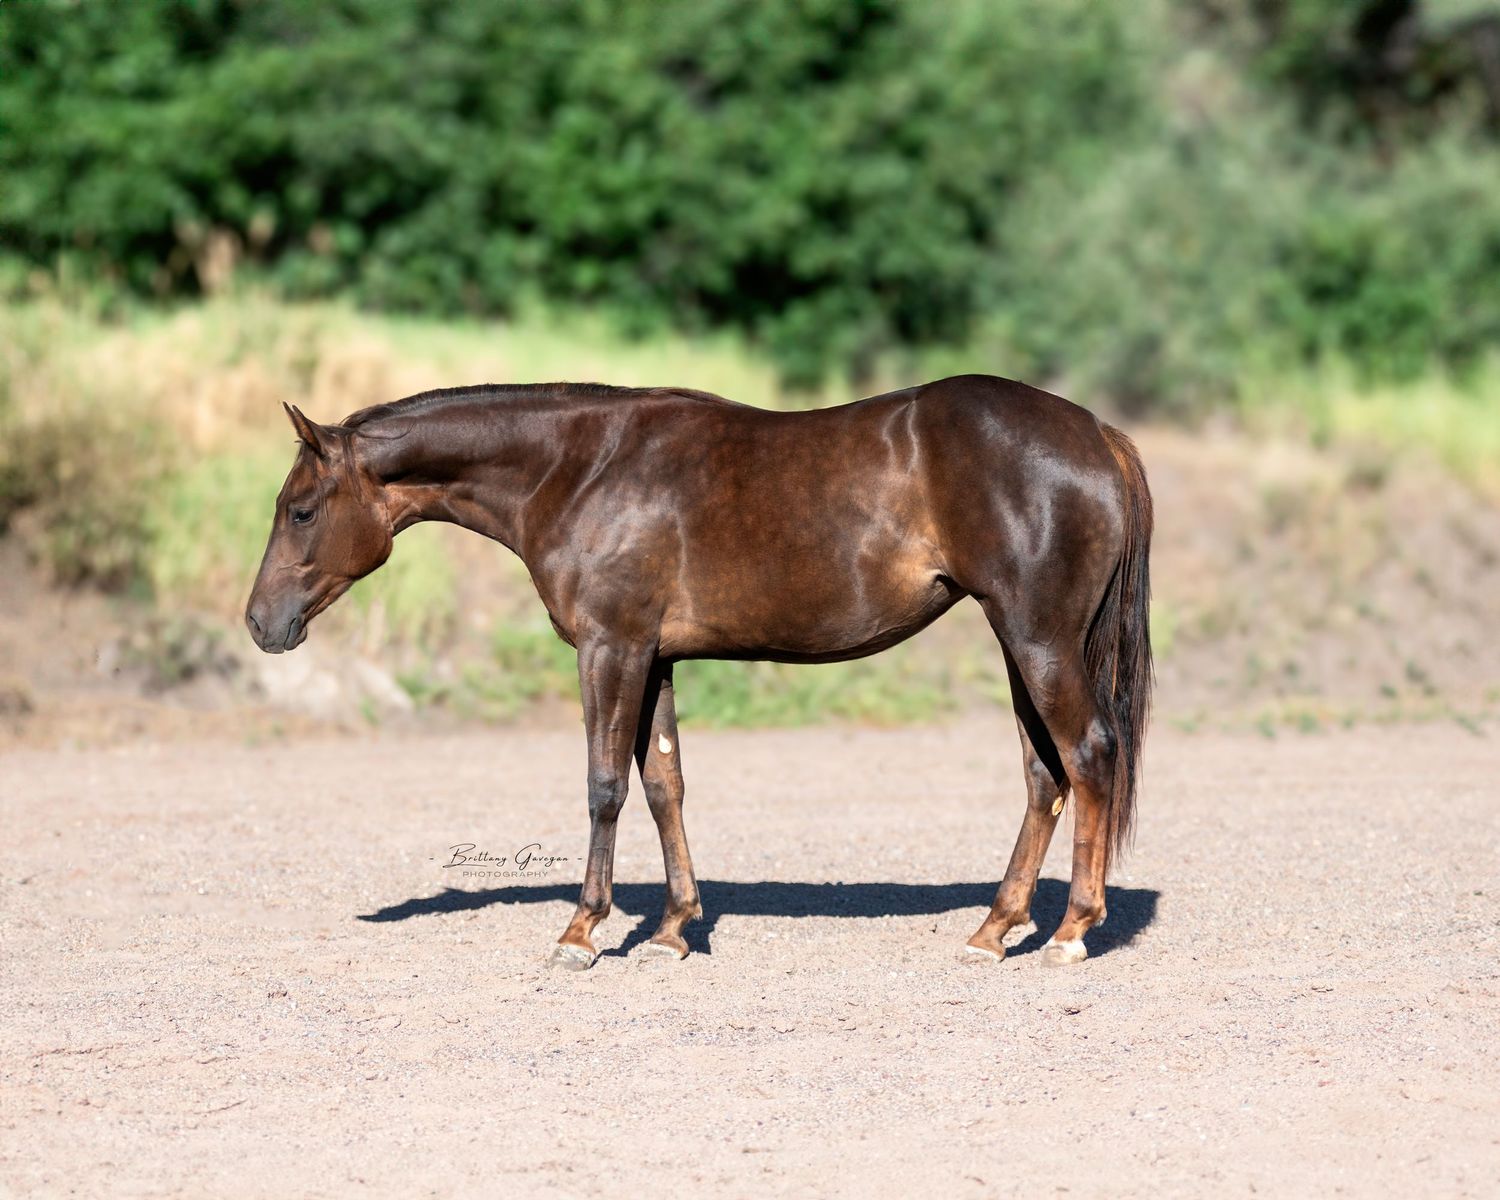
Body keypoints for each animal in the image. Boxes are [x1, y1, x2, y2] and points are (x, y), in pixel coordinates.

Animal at [245, 374, 1152, 970]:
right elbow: (664, 785)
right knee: (1044, 774)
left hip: (1038, 639)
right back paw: (993, 930)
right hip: (1018, 642)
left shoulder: (611, 647)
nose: (260, 622)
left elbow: (605, 784)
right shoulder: (656, 657)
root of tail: (1097, 434)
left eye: (301, 510)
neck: (581, 467)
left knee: (1089, 756)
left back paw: (1070, 932)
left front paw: (582, 932)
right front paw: (674, 929)